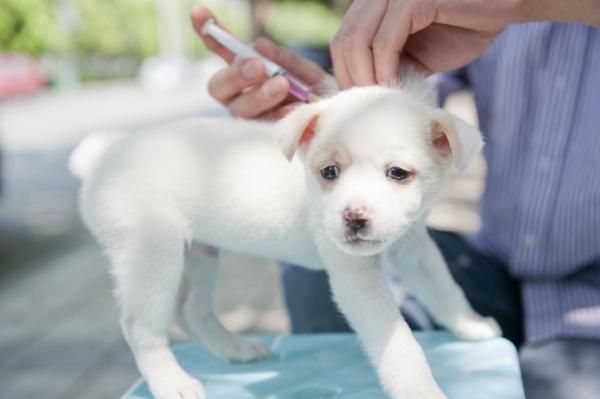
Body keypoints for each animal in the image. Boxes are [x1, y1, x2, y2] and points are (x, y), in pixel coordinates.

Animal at [70, 76, 502, 399]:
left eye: (397, 173)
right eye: (329, 172)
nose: (353, 218)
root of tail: (103, 158)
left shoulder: (414, 248)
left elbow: (444, 289)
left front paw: (470, 324)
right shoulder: (357, 279)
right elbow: (400, 345)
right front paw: (422, 391)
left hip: (199, 254)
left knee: (192, 311)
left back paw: (236, 348)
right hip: (151, 252)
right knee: (140, 326)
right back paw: (172, 383)